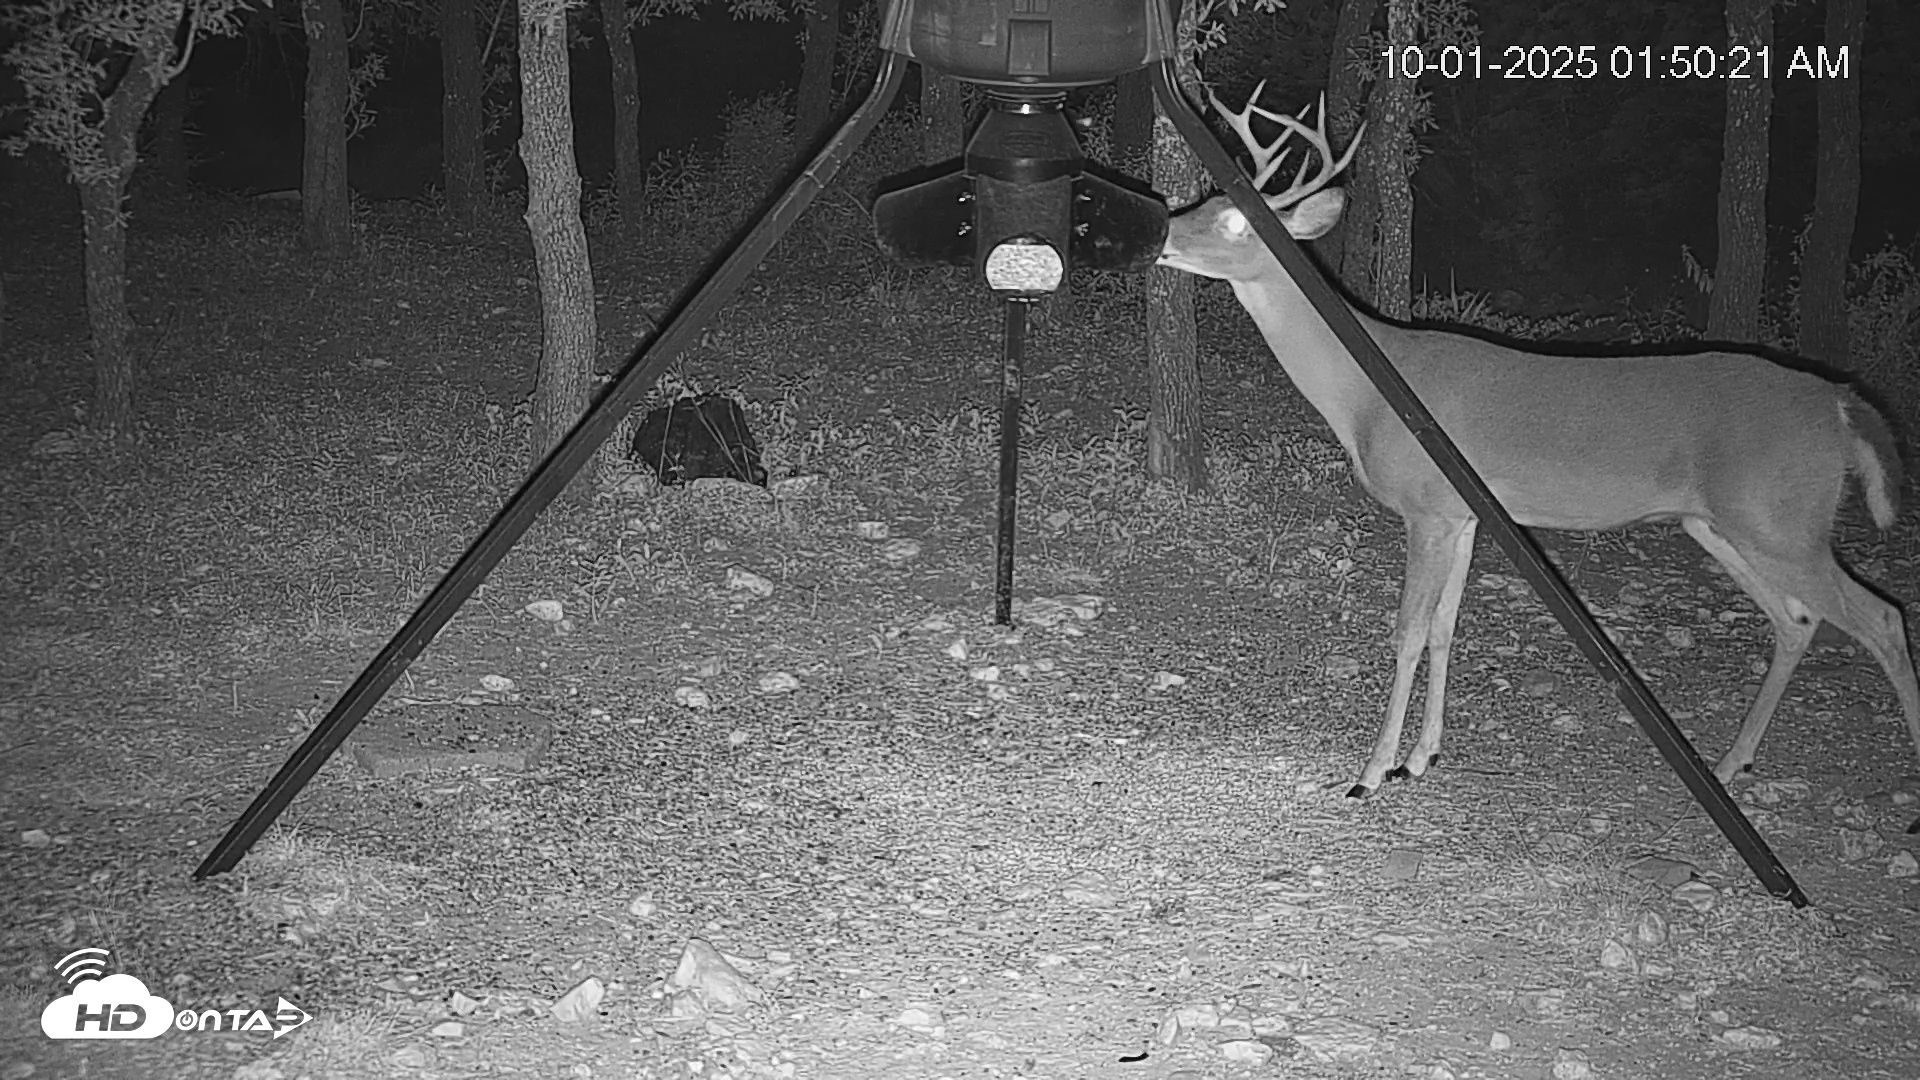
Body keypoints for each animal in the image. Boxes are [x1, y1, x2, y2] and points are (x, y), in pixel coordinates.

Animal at [1157, 83, 1920, 799]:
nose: (1161, 230)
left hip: (1779, 518)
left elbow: (1408, 633)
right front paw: (1422, 757)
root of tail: (1839, 403)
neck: (1365, 388)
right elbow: (1445, 627)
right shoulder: (1464, 515)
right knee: (1797, 621)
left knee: (1881, 617)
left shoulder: (1428, 508)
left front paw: (1371, 772)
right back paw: (1732, 764)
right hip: (1727, 524)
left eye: (1232, 218)